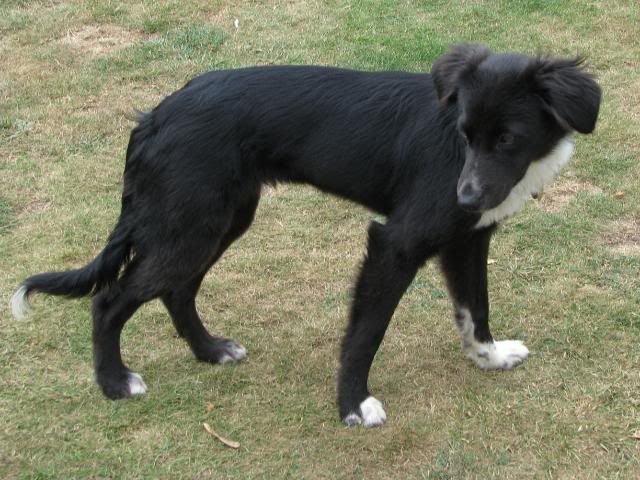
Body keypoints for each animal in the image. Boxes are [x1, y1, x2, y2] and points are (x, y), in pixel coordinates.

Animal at [11, 44, 600, 428]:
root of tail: (154, 115)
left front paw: (490, 359)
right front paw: (353, 406)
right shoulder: (395, 242)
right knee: (111, 299)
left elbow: (474, 310)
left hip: (220, 220)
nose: (468, 196)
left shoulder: (467, 239)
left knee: (176, 290)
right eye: (464, 133)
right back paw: (114, 382)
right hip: (191, 224)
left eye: (507, 139)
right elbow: (366, 334)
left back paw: (209, 351)